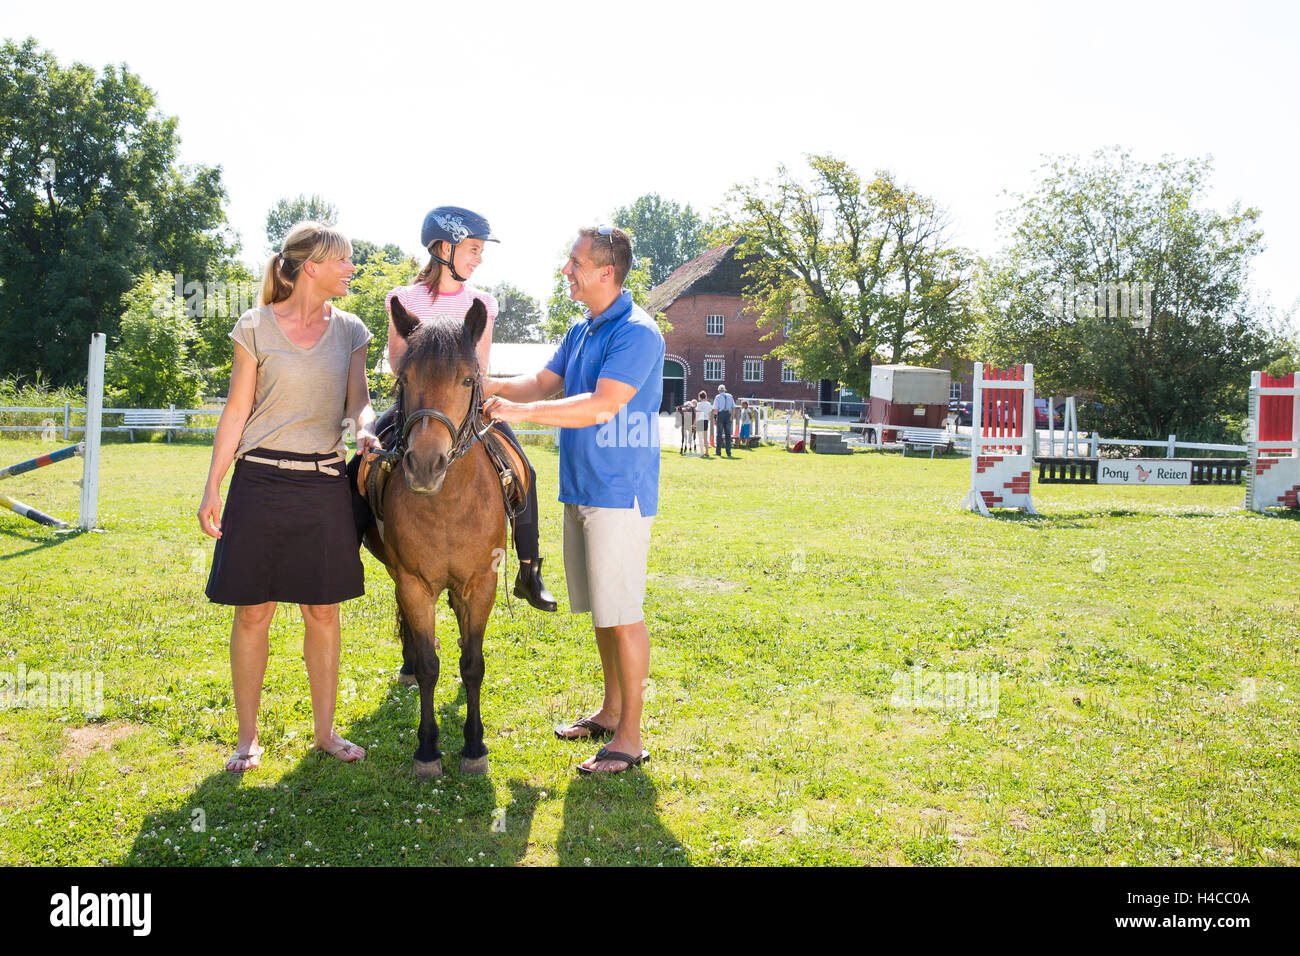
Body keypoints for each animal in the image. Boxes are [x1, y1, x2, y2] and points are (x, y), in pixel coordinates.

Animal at [366, 297, 512, 780]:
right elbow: (431, 665)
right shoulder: (413, 583)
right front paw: (428, 749)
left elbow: (473, 664)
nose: (426, 466)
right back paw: (409, 664)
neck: (448, 503)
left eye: (467, 379)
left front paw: (474, 744)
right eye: (404, 379)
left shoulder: (480, 584)